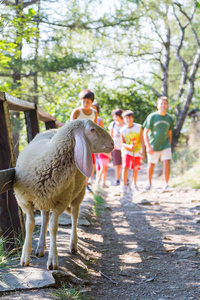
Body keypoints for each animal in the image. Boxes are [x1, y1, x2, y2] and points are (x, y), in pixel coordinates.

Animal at [13, 119, 114, 270]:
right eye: (92, 129)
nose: (113, 143)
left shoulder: (61, 201)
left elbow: (53, 227)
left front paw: (53, 260)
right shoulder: (24, 201)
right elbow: (30, 225)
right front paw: (25, 257)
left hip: (78, 194)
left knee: (74, 217)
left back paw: (73, 245)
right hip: (45, 198)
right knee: (44, 218)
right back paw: (40, 247)